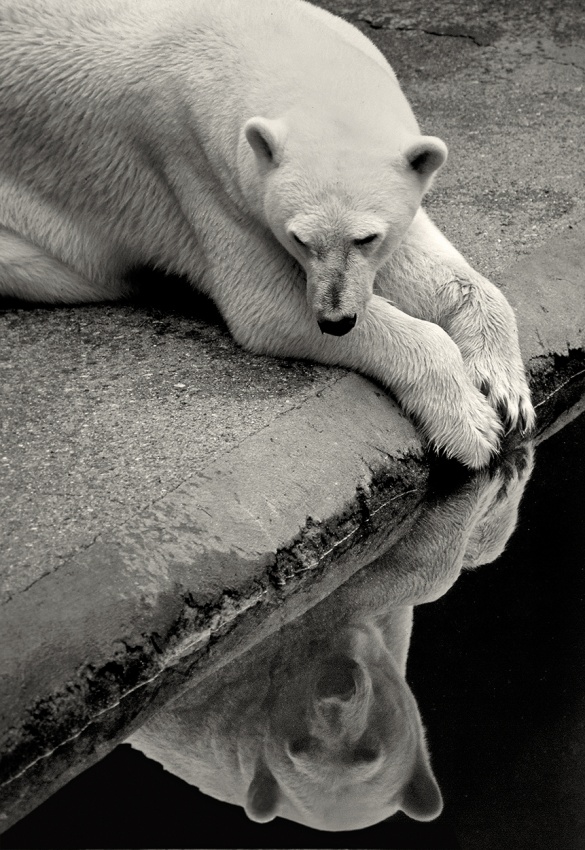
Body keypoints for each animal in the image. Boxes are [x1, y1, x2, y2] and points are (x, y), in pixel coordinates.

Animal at [0, 0, 532, 464]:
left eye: (367, 238)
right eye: (300, 239)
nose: (335, 321)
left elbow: (437, 267)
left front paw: (506, 393)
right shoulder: (196, 169)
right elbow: (267, 305)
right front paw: (473, 427)